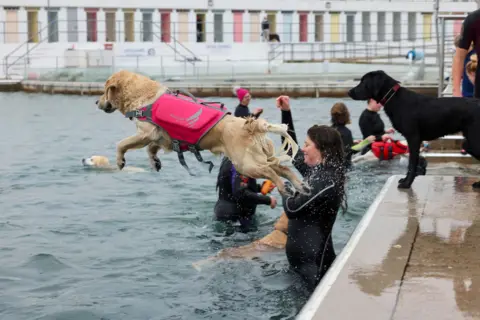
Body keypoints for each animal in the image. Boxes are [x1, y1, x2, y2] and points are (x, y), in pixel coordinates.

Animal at [96, 69, 308, 195]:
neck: (143, 96)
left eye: (105, 91)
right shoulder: (161, 138)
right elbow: (151, 149)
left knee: (270, 172)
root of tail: (250, 125)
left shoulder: (145, 133)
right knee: (283, 168)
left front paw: (120, 161)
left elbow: (122, 143)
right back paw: (300, 185)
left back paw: (285, 188)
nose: (96, 101)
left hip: (245, 163)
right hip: (259, 157)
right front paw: (155, 162)